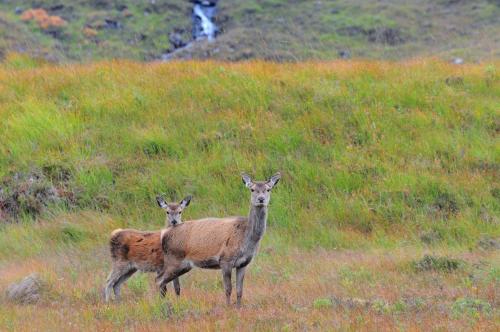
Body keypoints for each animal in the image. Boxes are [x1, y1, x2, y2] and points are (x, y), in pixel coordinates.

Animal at [157, 174, 282, 306]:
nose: (261, 199)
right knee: (160, 281)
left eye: (268, 189)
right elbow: (228, 289)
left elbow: (239, 290)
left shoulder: (243, 263)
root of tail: (165, 232)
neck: (246, 238)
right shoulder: (225, 260)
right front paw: (228, 307)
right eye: (252, 189)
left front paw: (238, 307)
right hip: (174, 259)